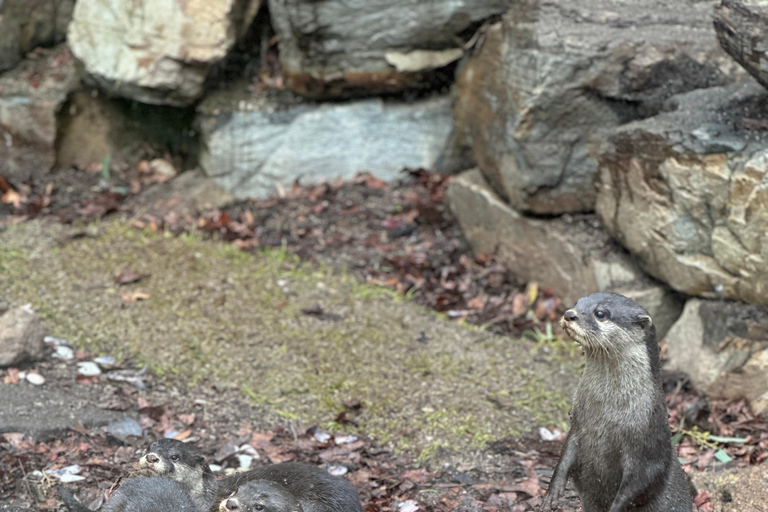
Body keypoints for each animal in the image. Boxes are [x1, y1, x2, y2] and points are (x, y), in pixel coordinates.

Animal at [540, 292, 696, 512]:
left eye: (600, 313)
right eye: (578, 303)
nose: (569, 314)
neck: (608, 414)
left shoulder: (648, 443)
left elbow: (638, 485)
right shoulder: (578, 422)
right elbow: (565, 454)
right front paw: (552, 492)